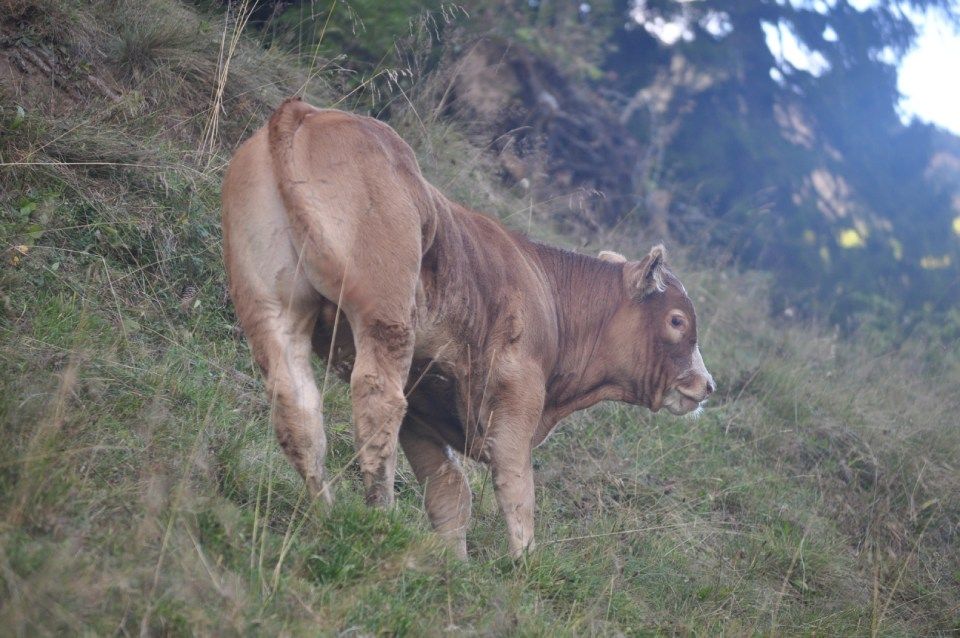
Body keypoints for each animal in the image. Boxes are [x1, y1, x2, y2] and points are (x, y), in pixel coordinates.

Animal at [221, 98, 715, 559]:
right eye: (677, 320)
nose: (706, 384)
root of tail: (304, 112)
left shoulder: (426, 407)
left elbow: (450, 491)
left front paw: (454, 562)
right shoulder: (516, 400)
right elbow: (517, 487)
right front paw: (522, 565)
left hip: (270, 306)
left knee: (297, 404)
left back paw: (323, 510)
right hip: (385, 314)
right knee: (377, 400)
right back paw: (379, 517)